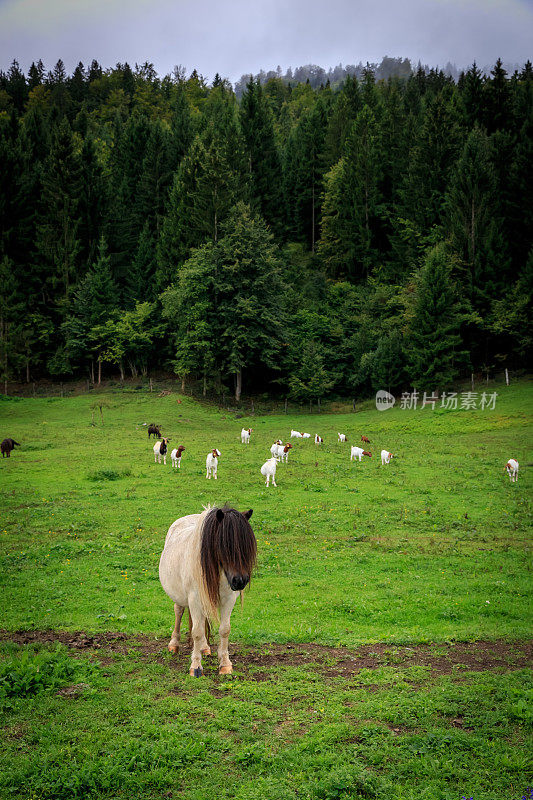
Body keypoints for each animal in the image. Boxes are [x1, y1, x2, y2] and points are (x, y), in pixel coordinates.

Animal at [158, 506, 256, 676]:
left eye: (246, 545)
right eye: (224, 544)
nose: (240, 581)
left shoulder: (229, 598)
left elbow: (224, 630)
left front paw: (225, 664)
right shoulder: (195, 599)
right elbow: (196, 632)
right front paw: (196, 667)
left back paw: (204, 647)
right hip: (180, 596)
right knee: (178, 611)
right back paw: (174, 644)